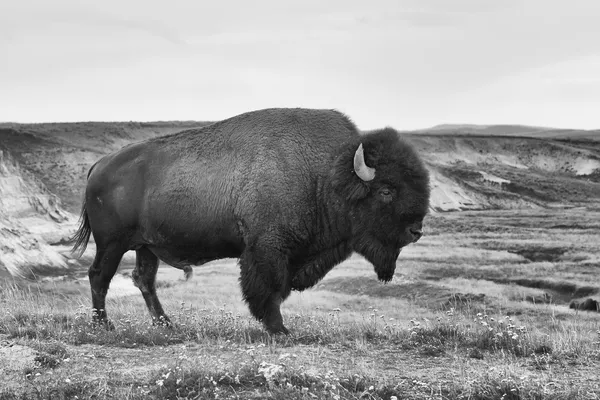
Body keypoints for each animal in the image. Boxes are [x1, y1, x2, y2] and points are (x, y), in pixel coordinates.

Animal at [71, 107, 432, 334]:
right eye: (386, 190)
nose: (416, 230)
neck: (326, 174)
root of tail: (100, 165)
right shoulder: (266, 249)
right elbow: (269, 290)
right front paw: (279, 329)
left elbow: (278, 289)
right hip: (112, 243)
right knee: (99, 276)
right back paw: (104, 325)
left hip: (146, 246)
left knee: (143, 279)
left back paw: (166, 324)